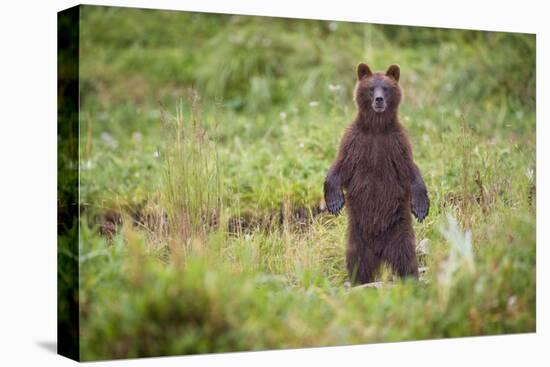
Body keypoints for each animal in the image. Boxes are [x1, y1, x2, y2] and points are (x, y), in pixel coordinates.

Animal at [324, 62, 432, 284]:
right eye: (371, 88)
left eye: (387, 88)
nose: (379, 99)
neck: (376, 129)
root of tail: (380, 251)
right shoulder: (355, 142)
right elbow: (339, 167)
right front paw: (334, 201)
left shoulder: (396, 144)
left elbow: (410, 171)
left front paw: (421, 206)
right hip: (357, 236)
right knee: (357, 261)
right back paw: (358, 281)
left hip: (399, 231)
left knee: (406, 258)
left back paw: (411, 278)